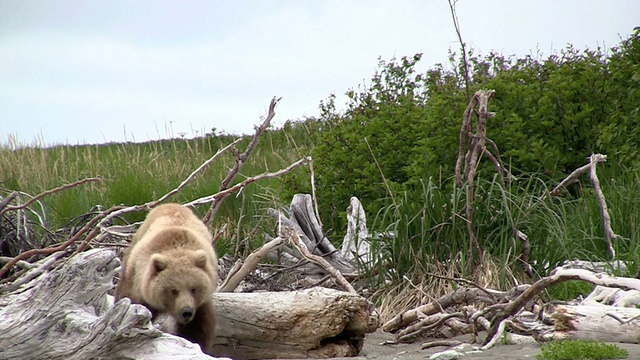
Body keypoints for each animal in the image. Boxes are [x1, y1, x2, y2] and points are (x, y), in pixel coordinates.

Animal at [114, 204, 216, 352]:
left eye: (194, 289)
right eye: (173, 290)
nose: (186, 311)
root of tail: (170, 204)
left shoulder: (200, 304)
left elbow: (197, 329)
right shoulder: (139, 286)